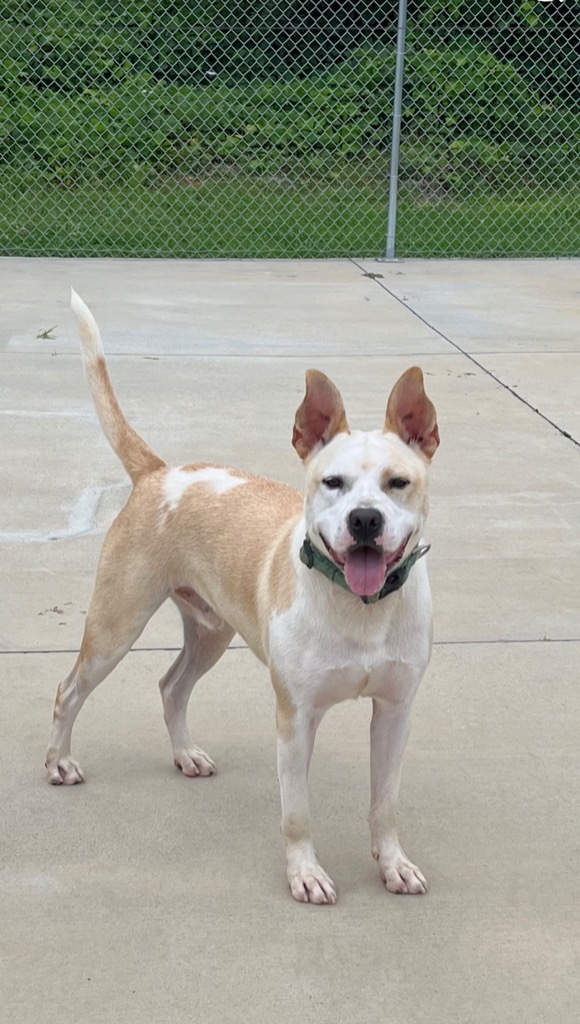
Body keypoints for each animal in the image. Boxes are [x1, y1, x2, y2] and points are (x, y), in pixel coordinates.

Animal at [46, 288, 440, 905]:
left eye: (398, 483)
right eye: (332, 482)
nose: (365, 520)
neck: (360, 608)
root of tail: (159, 473)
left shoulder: (396, 712)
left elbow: (385, 803)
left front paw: (393, 863)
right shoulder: (295, 718)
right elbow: (297, 813)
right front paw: (305, 872)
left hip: (211, 631)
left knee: (172, 686)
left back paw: (184, 754)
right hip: (116, 625)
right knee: (69, 691)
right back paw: (60, 762)